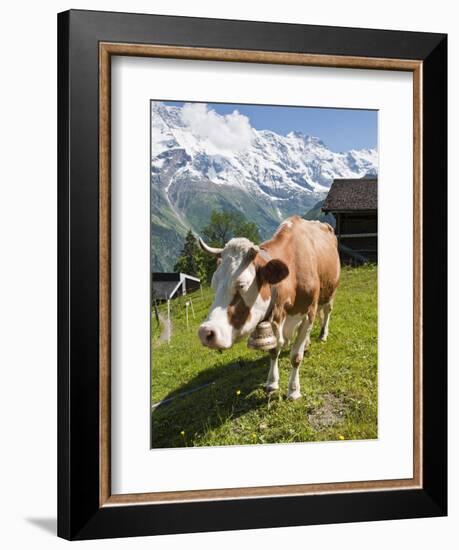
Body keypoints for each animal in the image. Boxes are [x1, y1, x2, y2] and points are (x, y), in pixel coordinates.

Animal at [198, 216, 342, 402]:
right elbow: (273, 351)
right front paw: (272, 383)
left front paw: (293, 391)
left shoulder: (308, 313)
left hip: (331, 291)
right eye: (213, 284)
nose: (205, 332)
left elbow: (296, 357)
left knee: (326, 312)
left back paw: (323, 335)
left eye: (242, 284)